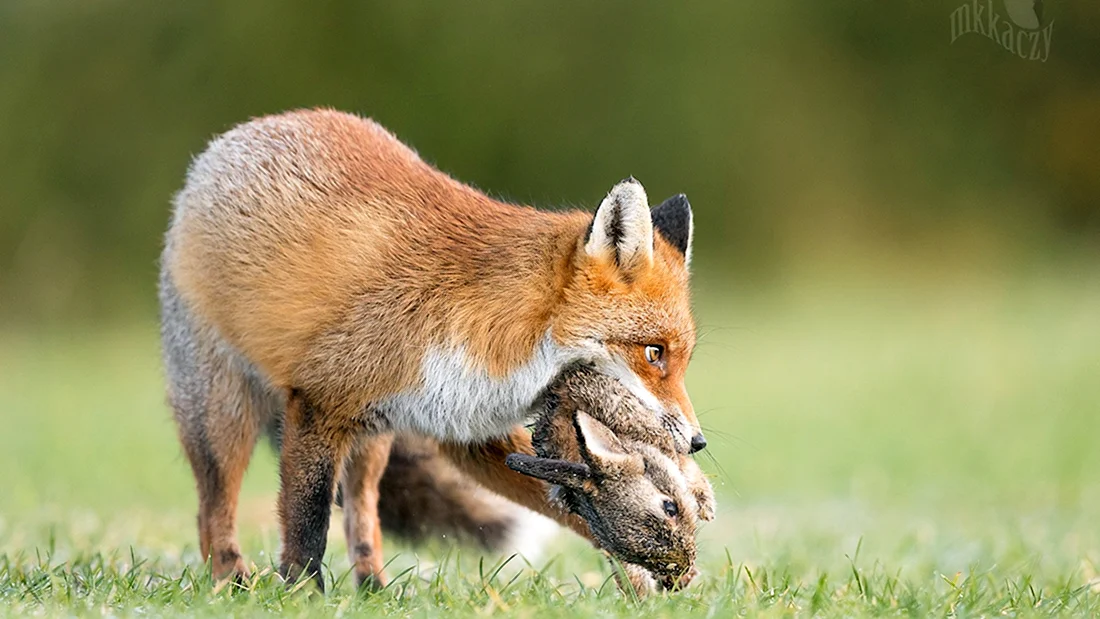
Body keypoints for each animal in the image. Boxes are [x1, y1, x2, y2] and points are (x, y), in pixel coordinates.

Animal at [160, 108, 702, 590]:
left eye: (681, 359)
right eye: (654, 353)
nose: (697, 442)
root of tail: (239, 135)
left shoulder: (467, 427)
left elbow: (575, 512)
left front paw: (642, 575)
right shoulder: (317, 402)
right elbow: (307, 522)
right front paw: (302, 594)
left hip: (372, 438)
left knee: (362, 514)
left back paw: (373, 589)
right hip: (222, 414)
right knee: (211, 514)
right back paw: (231, 582)